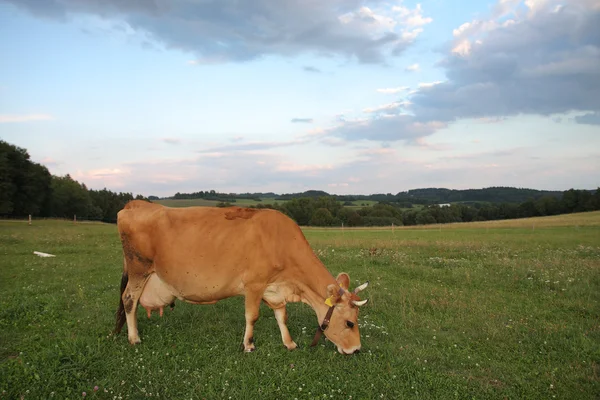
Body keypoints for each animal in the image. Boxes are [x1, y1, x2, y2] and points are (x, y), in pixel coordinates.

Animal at [110, 202, 368, 354]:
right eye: (350, 323)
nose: (356, 349)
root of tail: (138, 204)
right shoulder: (254, 284)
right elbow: (252, 316)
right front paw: (249, 345)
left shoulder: (273, 288)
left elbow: (281, 315)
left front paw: (289, 342)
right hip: (138, 269)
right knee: (129, 299)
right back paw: (134, 337)